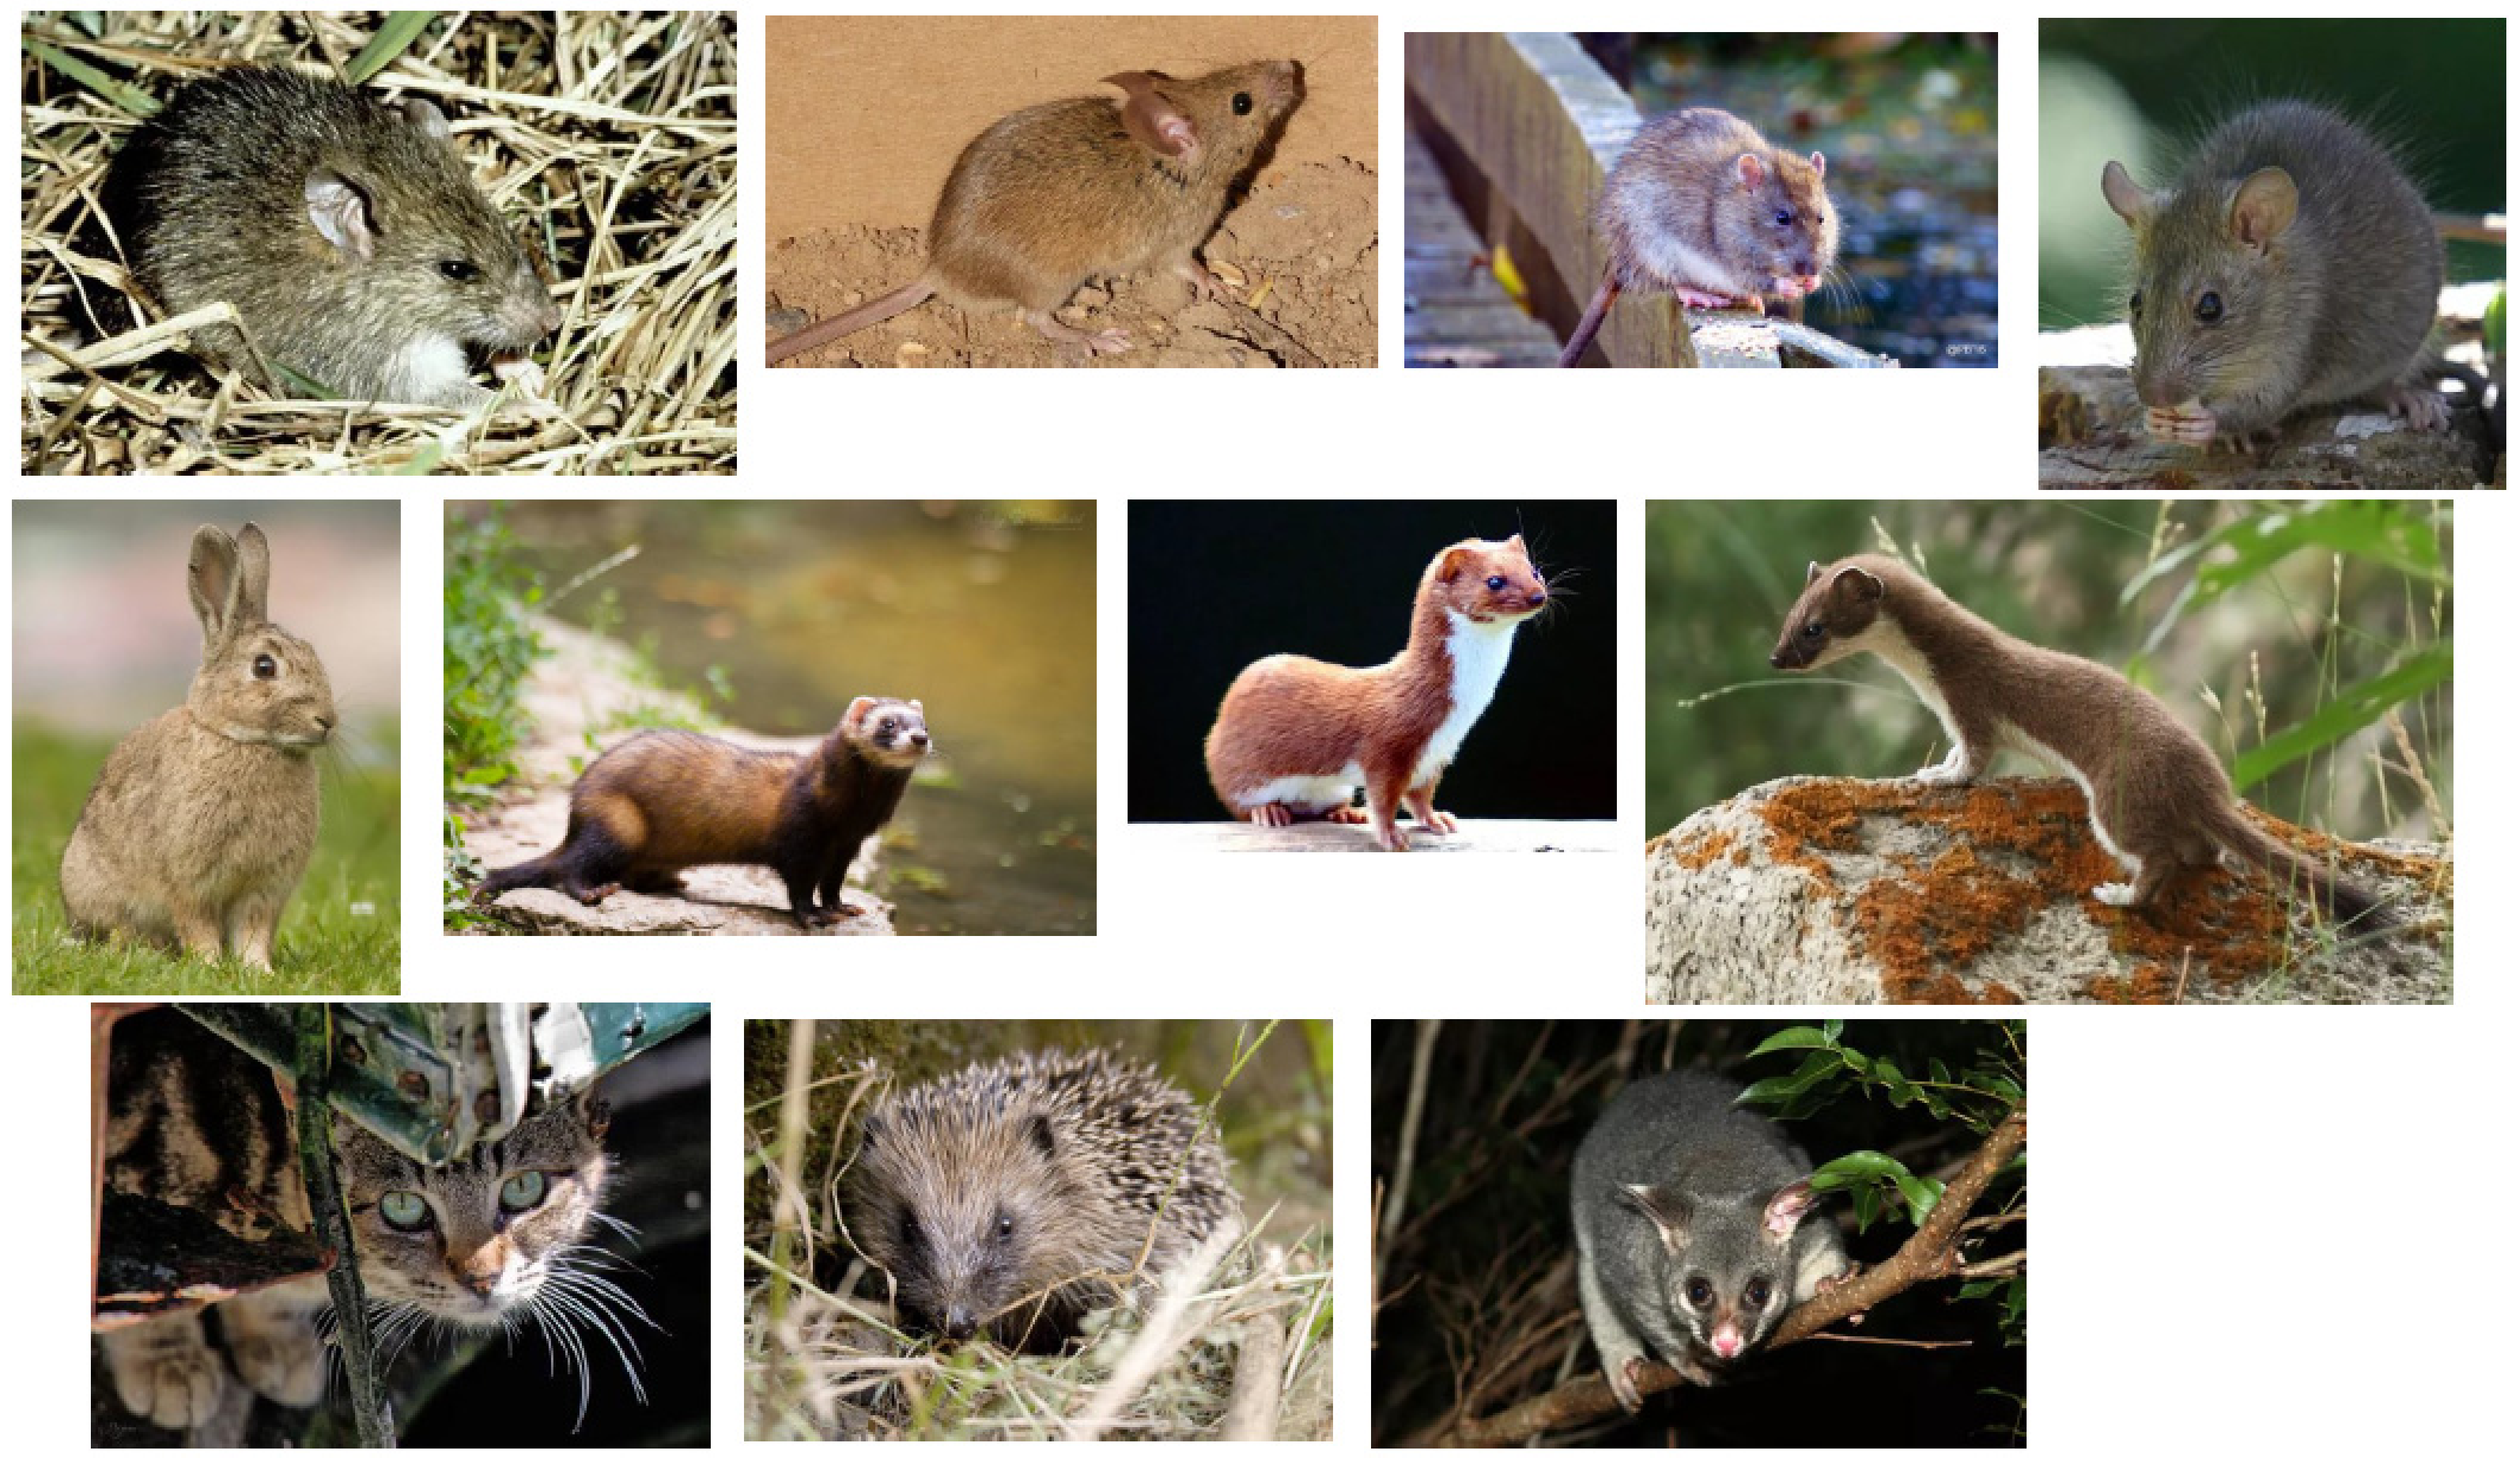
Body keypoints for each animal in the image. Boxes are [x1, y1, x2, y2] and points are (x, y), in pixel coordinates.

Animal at [58, 524, 335, 972]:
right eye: (264, 667)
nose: (326, 721)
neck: (244, 741)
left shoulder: (264, 889)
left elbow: (254, 933)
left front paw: (259, 972)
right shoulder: (190, 880)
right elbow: (197, 924)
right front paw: (210, 966)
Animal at [97, 1003, 650, 1441]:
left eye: (524, 1188)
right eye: (403, 1209)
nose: (483, 1280)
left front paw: (274, 1338)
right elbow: (149, 1287)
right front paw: (167, 1360)